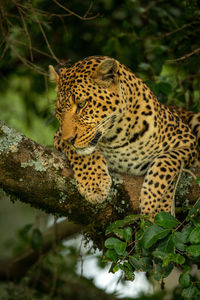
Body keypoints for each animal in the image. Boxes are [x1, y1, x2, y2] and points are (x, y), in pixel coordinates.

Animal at [48, 55, 200, 217]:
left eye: (82, 104)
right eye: (59, 110)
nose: (69, 139)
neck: (116, 136)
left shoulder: (188, 140)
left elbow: (165, 164)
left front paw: (155, 209)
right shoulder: (58, 136)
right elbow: (83, 155)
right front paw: (94, 184)